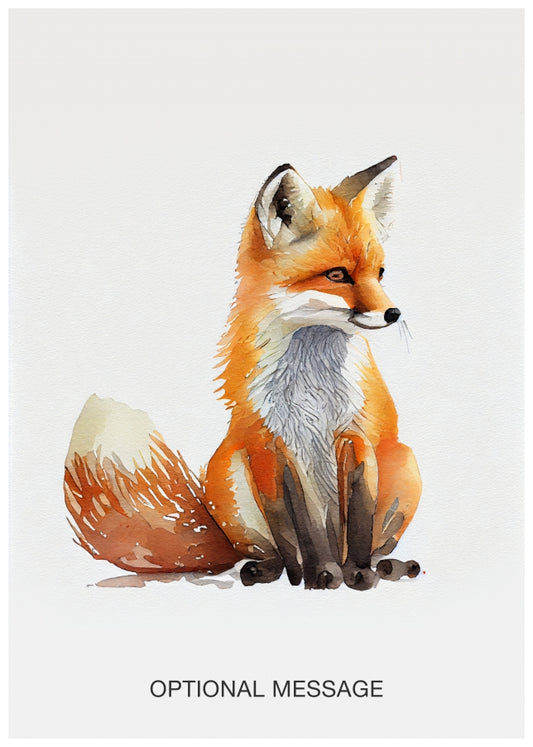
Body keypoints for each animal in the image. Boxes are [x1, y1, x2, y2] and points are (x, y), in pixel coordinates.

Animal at [64, 156, 422, 590]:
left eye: (380, 273)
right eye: (337, 275)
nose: (393, 314)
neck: (311, 385)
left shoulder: (357, 436)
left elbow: (359, 519)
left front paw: (356, 574)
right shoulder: (268, 445)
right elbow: (299, 529)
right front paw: (318, 574)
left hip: (402, 460)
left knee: (378, 545)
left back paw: (386, 566)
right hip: (229, 467)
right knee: (266, 550)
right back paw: (274, 570)